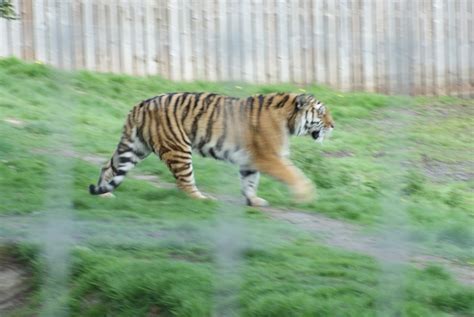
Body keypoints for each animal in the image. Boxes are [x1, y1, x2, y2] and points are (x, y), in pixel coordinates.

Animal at [88, 92, 334, 205]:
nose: (333, 125)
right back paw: (203, 200)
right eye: (321, 113)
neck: (289, 119)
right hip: (179, 148)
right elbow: (295, 175)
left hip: (135, 147)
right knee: (184, 183)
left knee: (107, 167)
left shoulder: (250, 160)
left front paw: (253, 201)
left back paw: (105, 194)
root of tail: (140, 105)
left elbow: (250, 182)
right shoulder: (269, 157)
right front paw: (306, 196)